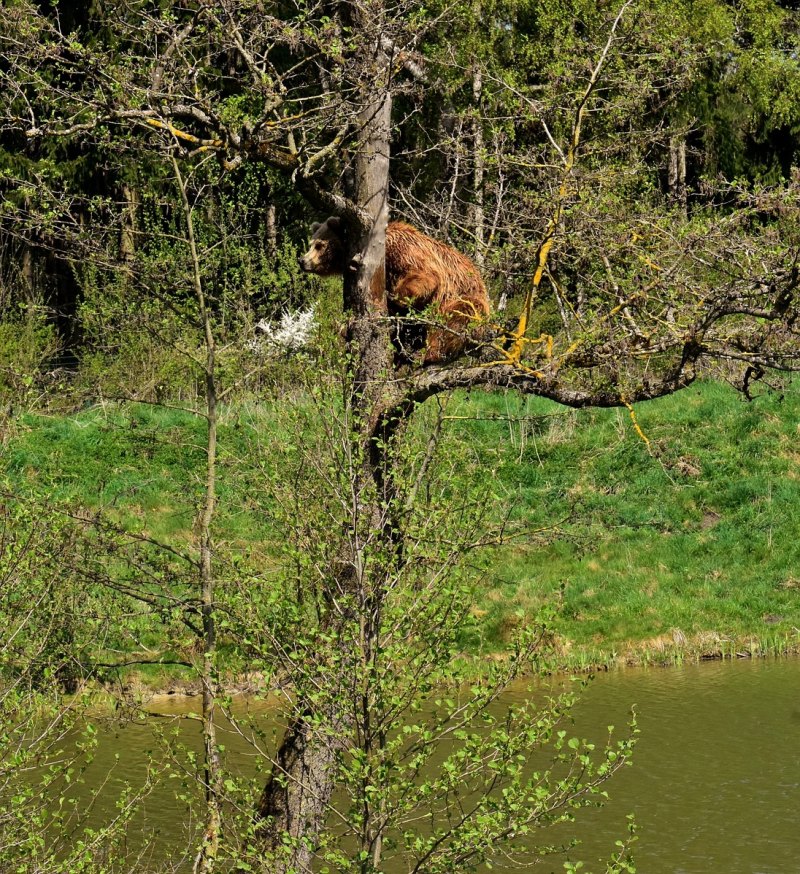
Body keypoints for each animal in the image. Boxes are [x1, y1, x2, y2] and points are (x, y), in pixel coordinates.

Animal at [298, 216, 490, 362]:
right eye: (311, 243)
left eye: (319, 245)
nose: (302, 260)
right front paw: (345, 329)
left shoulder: (405, 252)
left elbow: (425, 277)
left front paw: (393, 295)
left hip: (466, 300)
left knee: (455, 318)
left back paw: (426, 354)